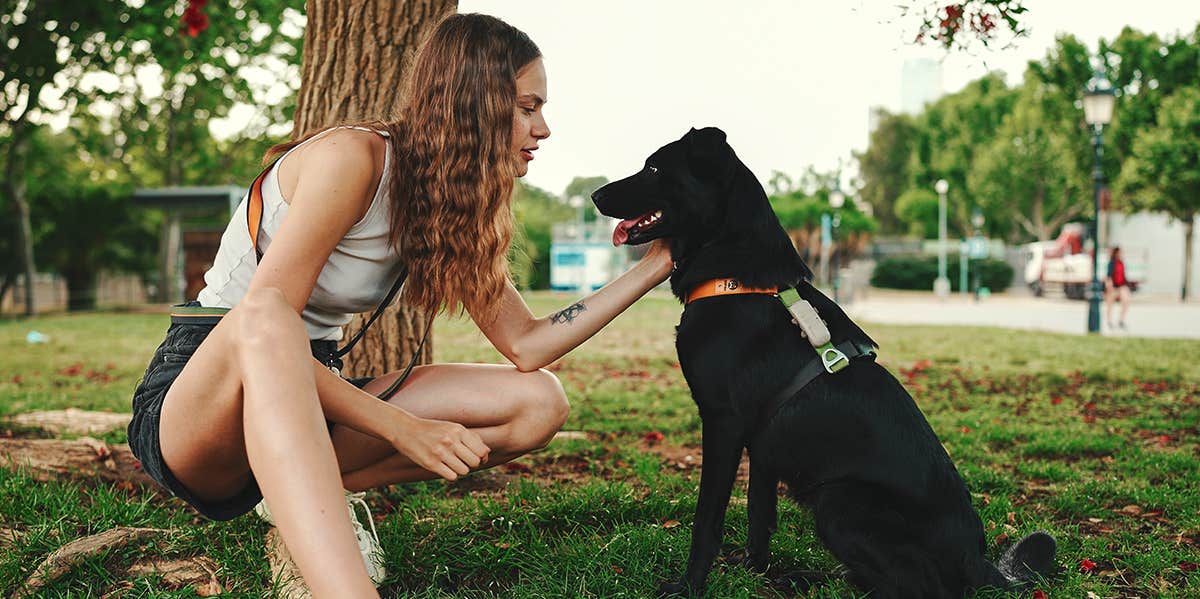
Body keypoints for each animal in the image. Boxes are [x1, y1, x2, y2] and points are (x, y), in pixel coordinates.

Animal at [595, 129, 1056, 597]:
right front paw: (754, 570)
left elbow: (707, 518)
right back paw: (804, 577)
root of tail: (977, 562)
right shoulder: (761, 445)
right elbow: (759, 515)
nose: (595, 195)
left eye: (653, 167)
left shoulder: (723, 423)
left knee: (915, 587)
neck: (736, 276)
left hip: (839, 499)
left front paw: (689, 586)